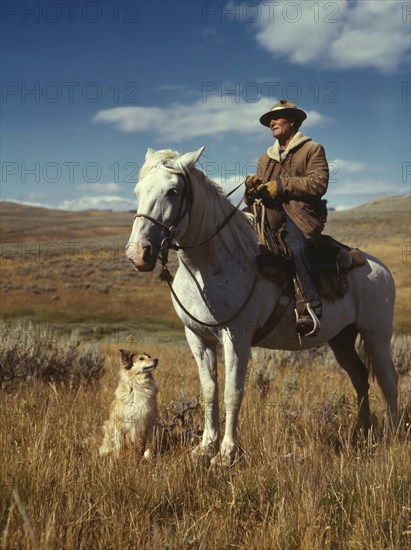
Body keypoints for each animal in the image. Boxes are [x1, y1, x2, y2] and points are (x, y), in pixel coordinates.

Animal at [126, 148, 400, 470]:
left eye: (172, 191)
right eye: (138, 191)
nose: (138, 254)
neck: (212, 262)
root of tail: (379, 267)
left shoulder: (237, 337)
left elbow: (232, 393)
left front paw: (226, 454)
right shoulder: (197, 337)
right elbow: (209, 391)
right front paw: (204, 448)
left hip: (376, 335)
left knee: (388, 380)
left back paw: (391, 435)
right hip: (341, 339)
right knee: (360, 378)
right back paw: (360, 432)